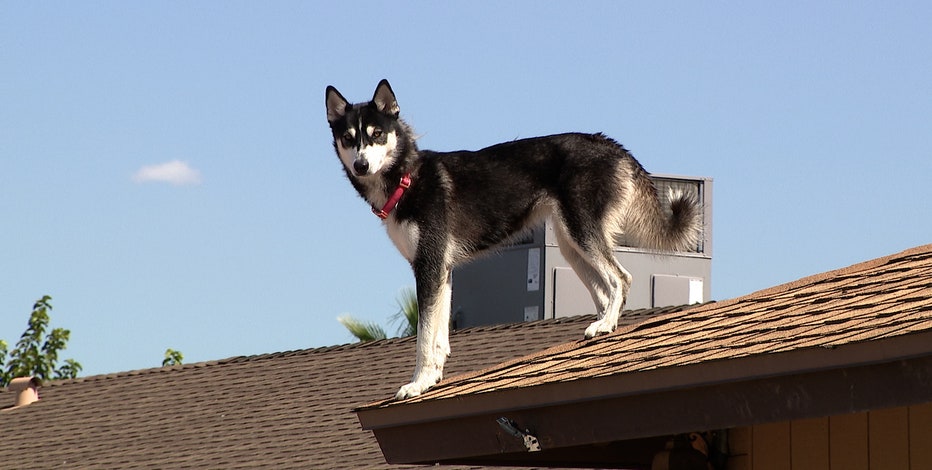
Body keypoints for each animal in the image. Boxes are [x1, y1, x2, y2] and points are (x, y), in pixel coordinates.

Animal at [328, 80, 700, 396]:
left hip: (581, 232)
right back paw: (603, 327)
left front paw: (417, 383)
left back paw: (605, 324)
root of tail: (609, 143)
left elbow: (423, 339)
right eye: (348, 137)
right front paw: (433, 378)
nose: (361, 165)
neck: (408, 176)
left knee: (621, 278)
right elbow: (438, 339)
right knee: (607, 289)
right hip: (571, 244)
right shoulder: (440, 271)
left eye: (377, 134)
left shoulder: (429, 267)